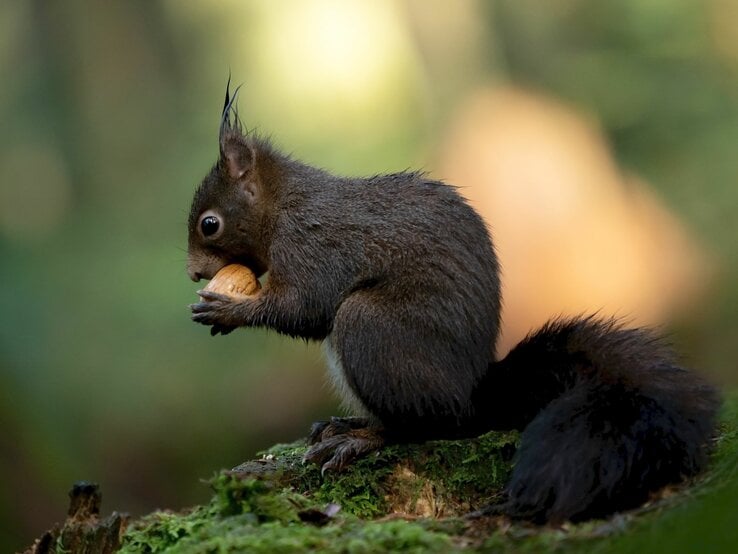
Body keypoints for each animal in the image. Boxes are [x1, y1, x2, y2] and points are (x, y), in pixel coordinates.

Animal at [187, 82, 716, 520]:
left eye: (209, 224)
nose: (193, 272)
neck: (283, 206)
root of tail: (473, 397)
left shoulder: (313, 246)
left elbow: (305, 309)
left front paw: (228, 309)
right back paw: (348, 422)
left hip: (372, 328)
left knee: (424, 425)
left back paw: (361, 438)